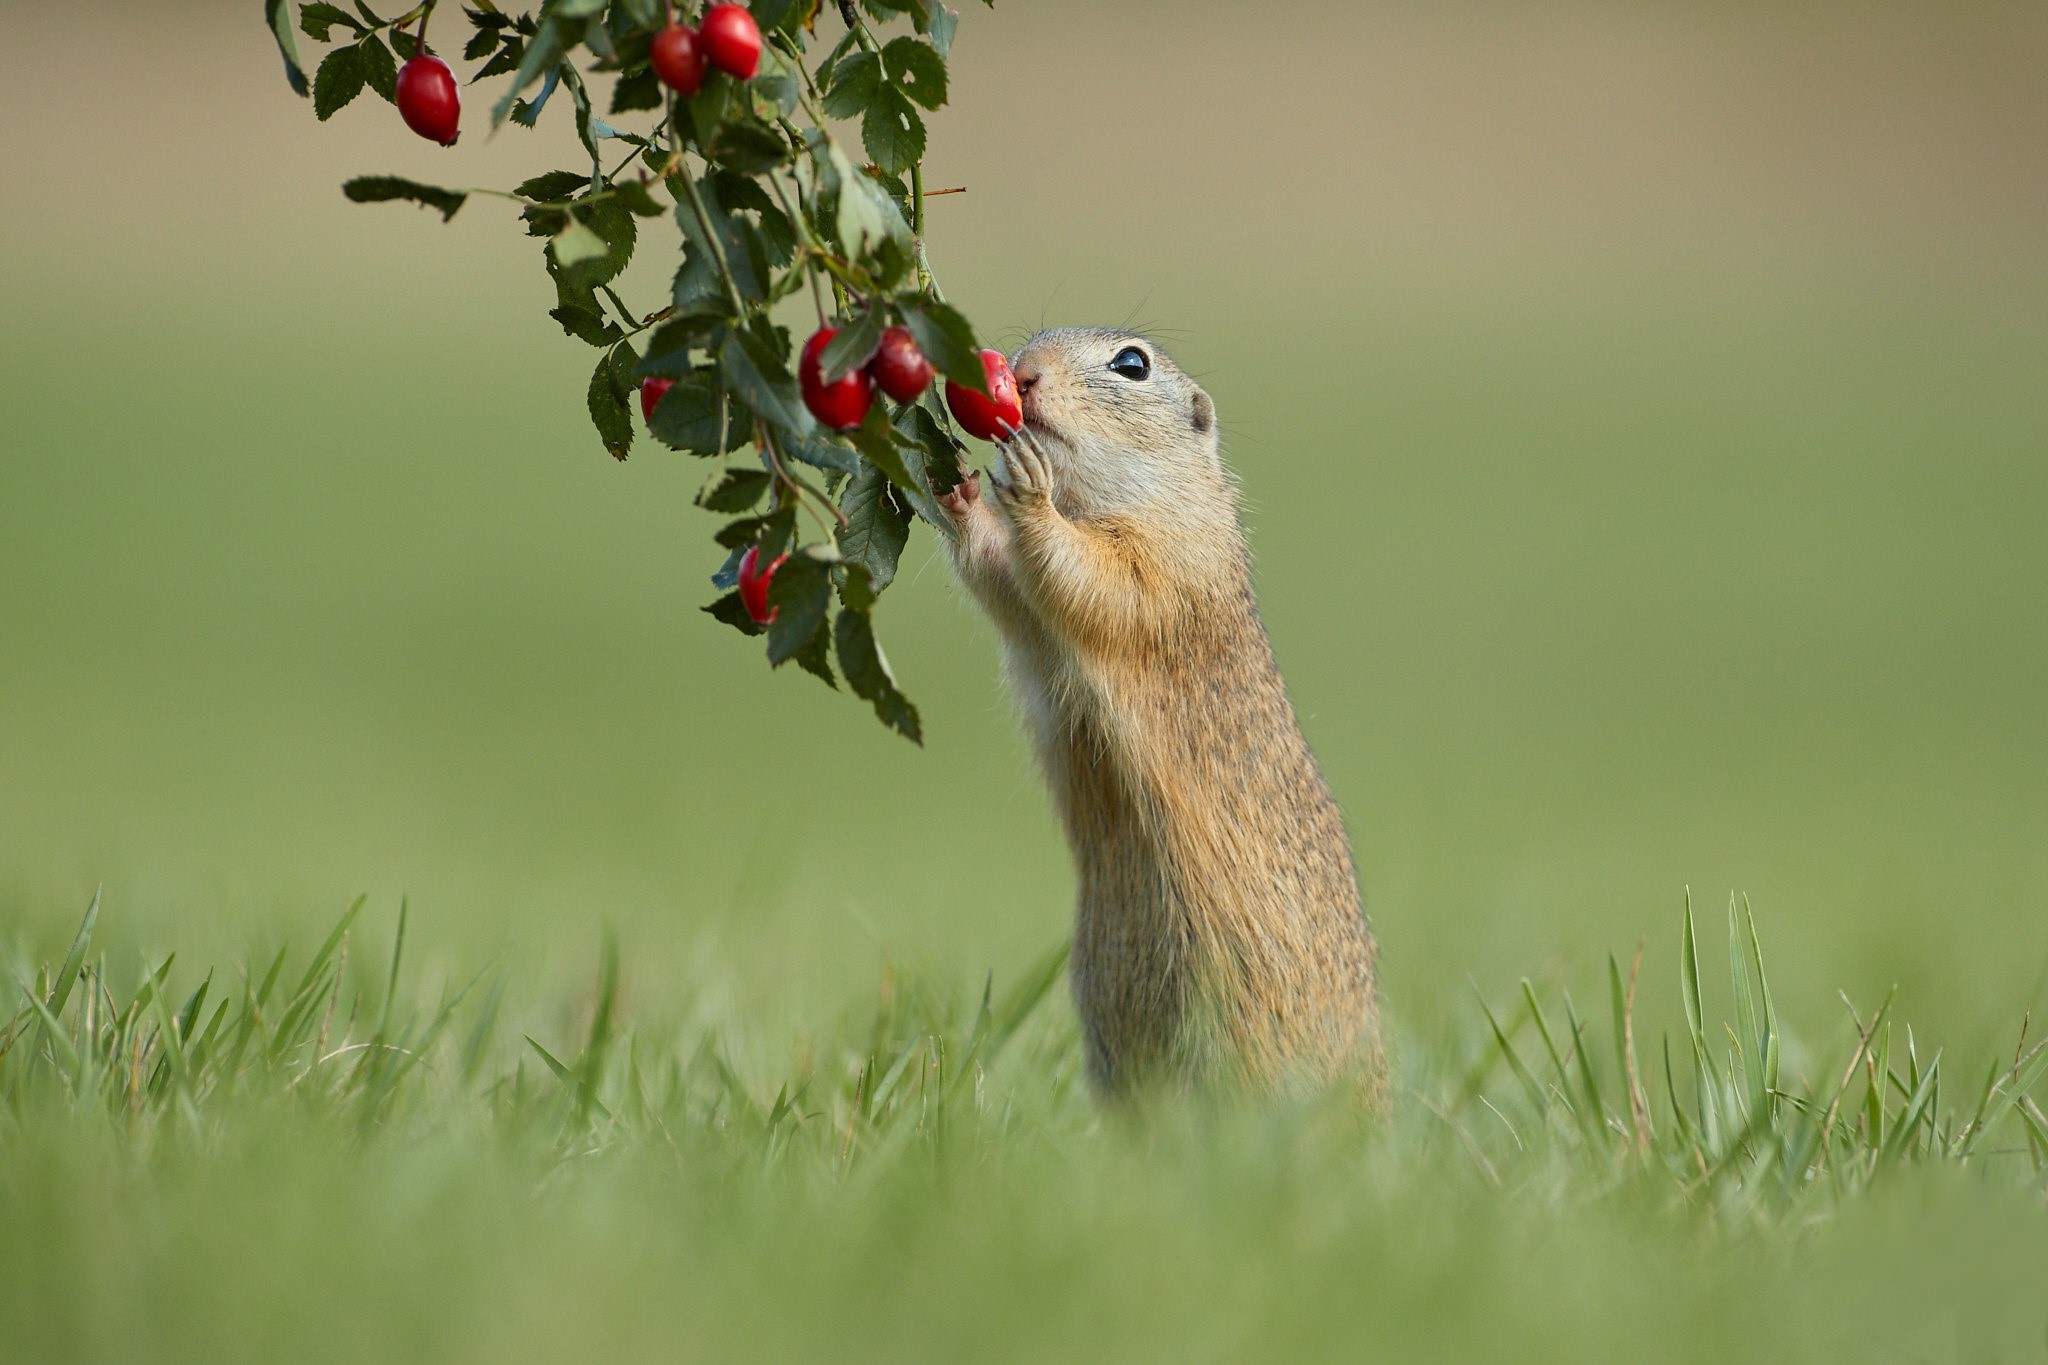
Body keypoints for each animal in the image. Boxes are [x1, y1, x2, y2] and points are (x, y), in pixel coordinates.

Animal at [938, 328, 1385, 1101]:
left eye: (1132, 364)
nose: (1021, 375)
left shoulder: (1170, 563)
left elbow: (1093, 578)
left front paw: (1028, 490)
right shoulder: (1033, 614)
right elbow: (1006, 578)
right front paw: (960, 492)